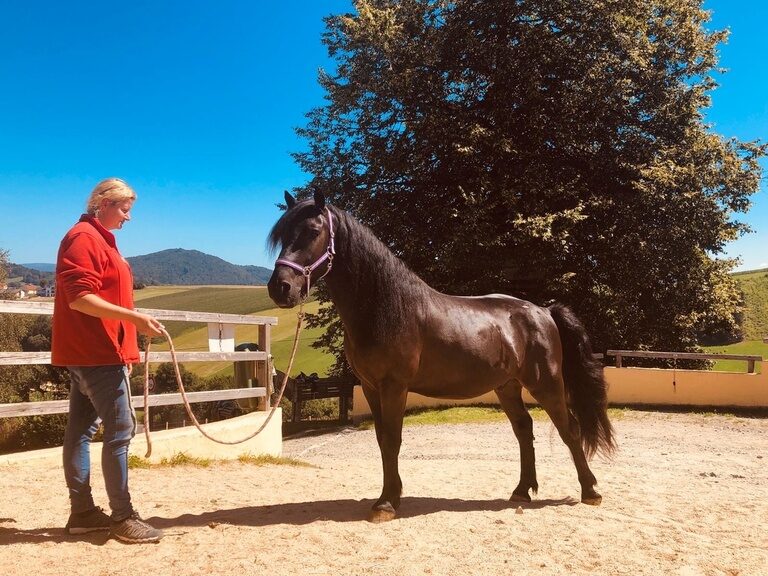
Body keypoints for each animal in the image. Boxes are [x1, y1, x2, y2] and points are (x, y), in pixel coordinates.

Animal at [267, 190, 616, 523]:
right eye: (282, 235)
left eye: (313, 231)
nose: (280, 288)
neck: (387, 307)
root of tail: (543, 311)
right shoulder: (370, 387)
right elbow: (381, 440)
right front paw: (390, 496)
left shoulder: (394, 386)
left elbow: (392, 440)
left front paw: (386, 504)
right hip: (507, 387)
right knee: (523, 429)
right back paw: (521, 491)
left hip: (546, 384)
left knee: (569, 429)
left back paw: (590, 491)